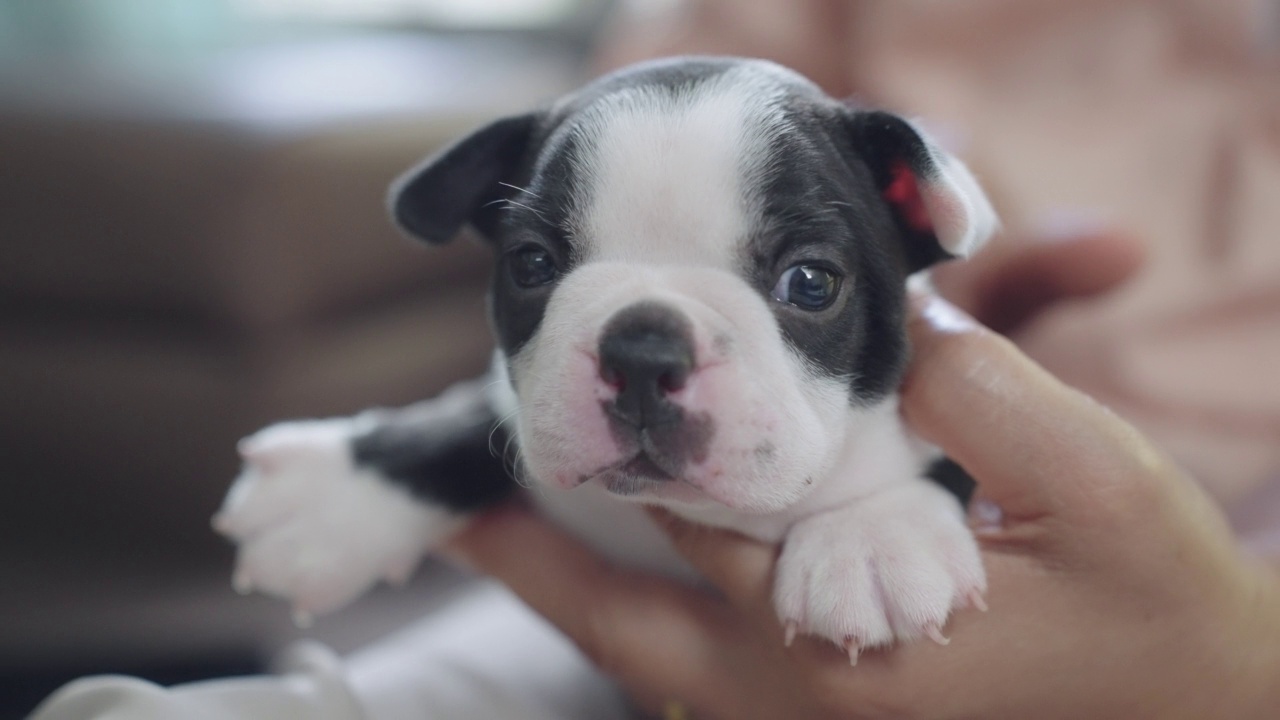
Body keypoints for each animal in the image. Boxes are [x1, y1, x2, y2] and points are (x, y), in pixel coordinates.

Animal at [212, 56, 998, 661]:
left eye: (810, 282)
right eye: (531, 264)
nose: (644, 351)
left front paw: (871, 533)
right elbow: (476, 412)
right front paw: (337, 496)